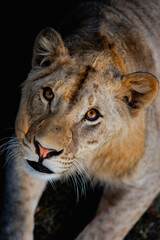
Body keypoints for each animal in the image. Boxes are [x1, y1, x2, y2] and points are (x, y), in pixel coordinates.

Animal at [0, 0, 160, 240]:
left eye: (92, 115)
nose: (44, 151)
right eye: (48, 94)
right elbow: (16, 218)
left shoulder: (148, 178)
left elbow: (104, 229)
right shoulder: (20, 143)